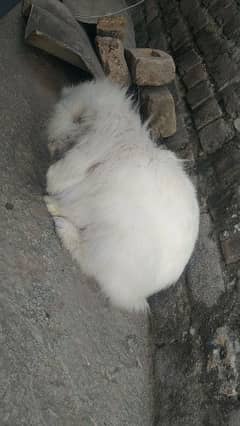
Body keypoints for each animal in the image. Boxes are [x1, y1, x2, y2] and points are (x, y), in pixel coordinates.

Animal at [45, 80, 199, 312]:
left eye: (75, 118)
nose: (50, 143)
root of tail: (138, 294)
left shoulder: (90, 191)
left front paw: (51, 194)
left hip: (105, 245)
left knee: (88, 263)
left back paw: (63, 227)